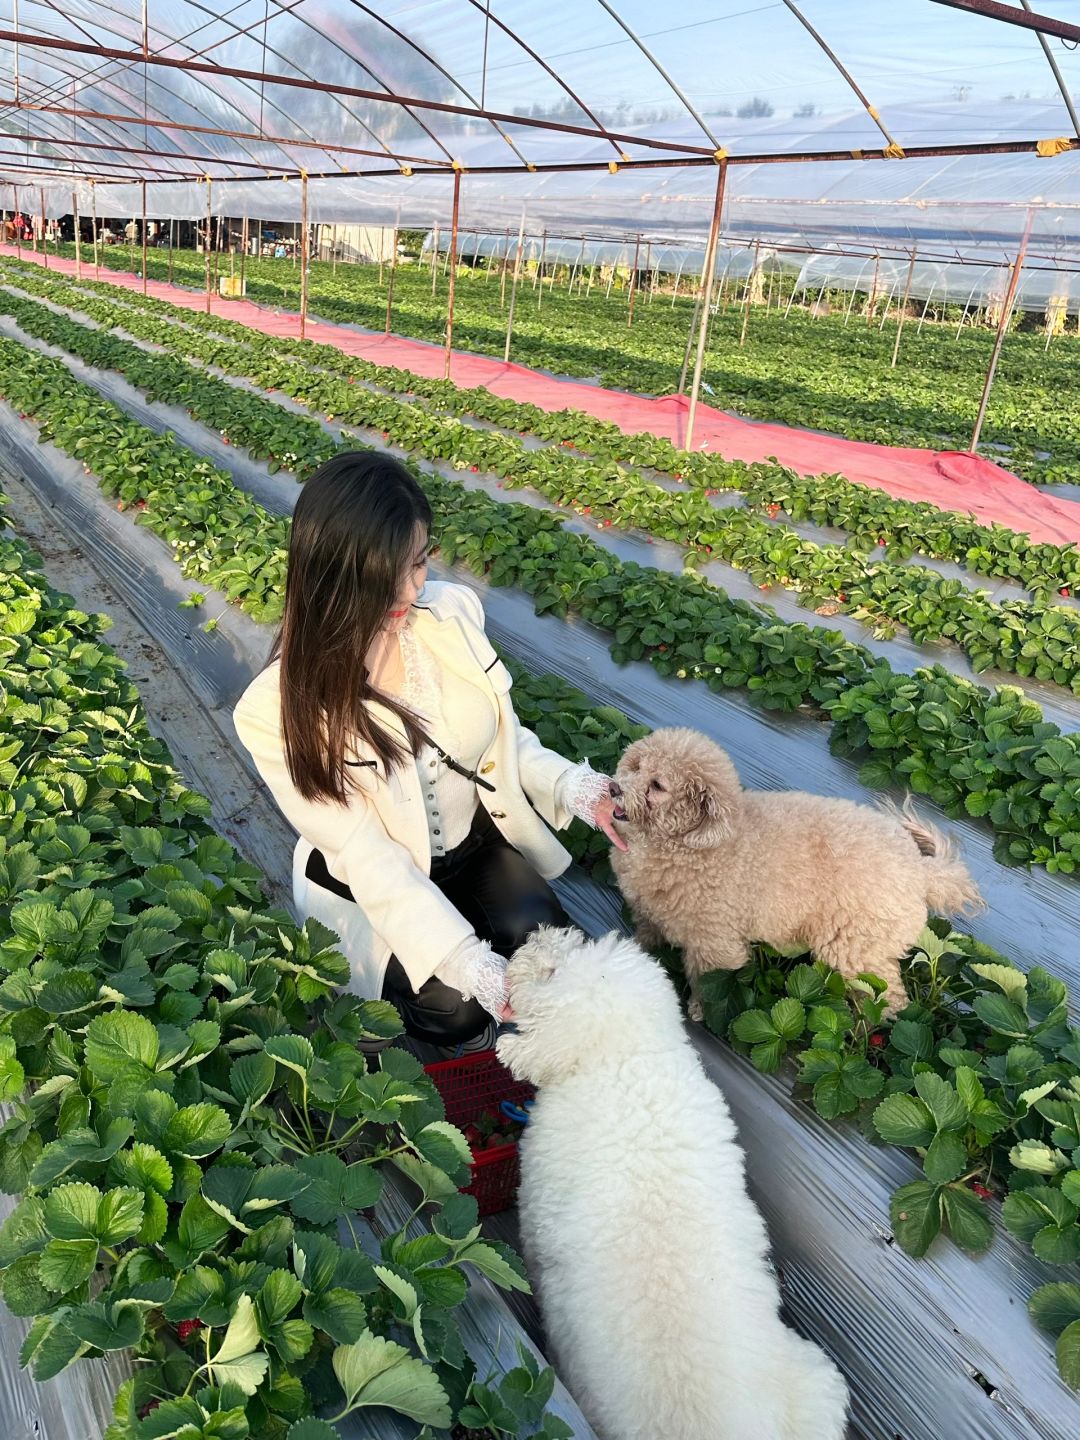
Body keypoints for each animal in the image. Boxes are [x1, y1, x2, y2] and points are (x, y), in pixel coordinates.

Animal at [609, 728, 982, 1018]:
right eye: (636, 766)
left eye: (658, 785)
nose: (613, 788)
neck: (691, 844)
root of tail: (920, 871)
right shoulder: (650, 912)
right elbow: (645, 935)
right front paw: (628, 956)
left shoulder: (715, 942)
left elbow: (708, 982)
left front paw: (700, 1011)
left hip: (856, 949)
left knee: (888, 997)